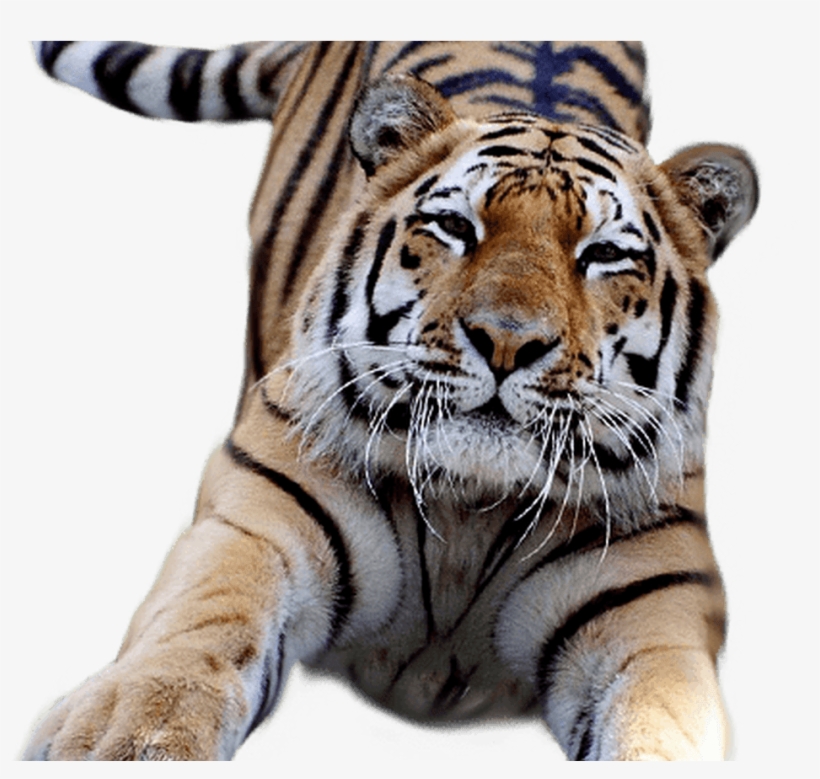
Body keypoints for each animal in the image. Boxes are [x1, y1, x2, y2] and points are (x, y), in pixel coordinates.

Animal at [24, 41, 757, 761]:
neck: (470, 511)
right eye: (455, 226)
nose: (507, 340)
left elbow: (658, 730)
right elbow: (183, 650)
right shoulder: (255, 526)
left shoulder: (652, 617)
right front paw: (116, 741)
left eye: (602, 254)